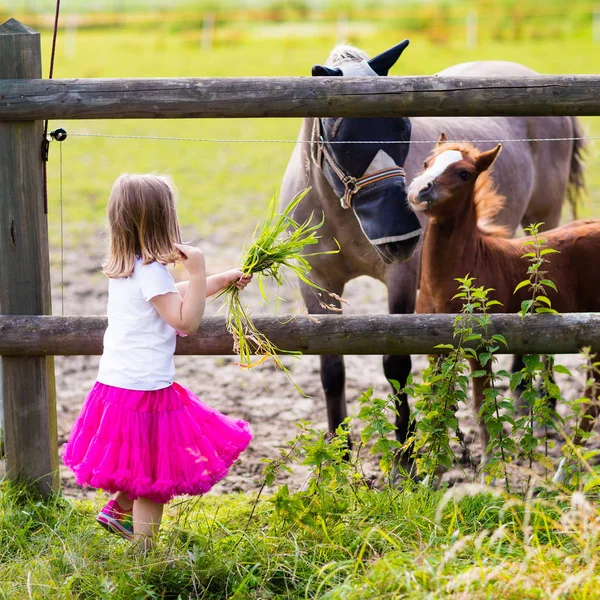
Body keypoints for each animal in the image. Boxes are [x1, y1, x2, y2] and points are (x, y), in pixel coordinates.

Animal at [282, 41, 584, 464]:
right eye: (342, 136)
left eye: (403, 127)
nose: (401, 235)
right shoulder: (317, 285)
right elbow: (331, 369)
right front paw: (340, 456)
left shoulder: (402, 279)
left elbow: (396, 363)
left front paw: (405, 457)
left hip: (542, 221)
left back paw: (536, 407)